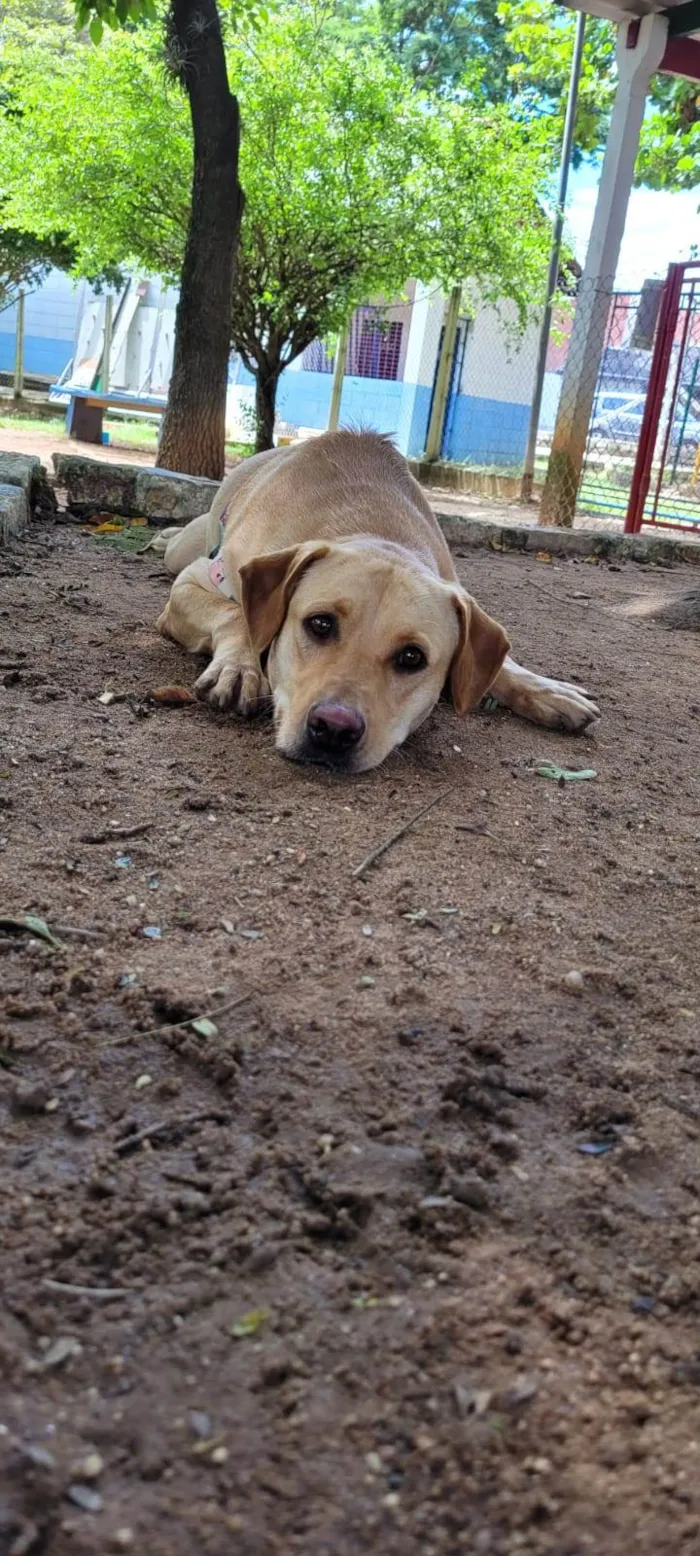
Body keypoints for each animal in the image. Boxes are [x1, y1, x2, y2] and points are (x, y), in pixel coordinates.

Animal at [155, 429, 597, 774]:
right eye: (320, 624)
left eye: (412, 657)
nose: (334, 729)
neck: (376, 528)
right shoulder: (195, 583)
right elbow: (236, 613)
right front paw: (238, 667)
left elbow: (501, 665)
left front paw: (547, 690)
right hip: (186, 552)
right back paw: (165, 535)